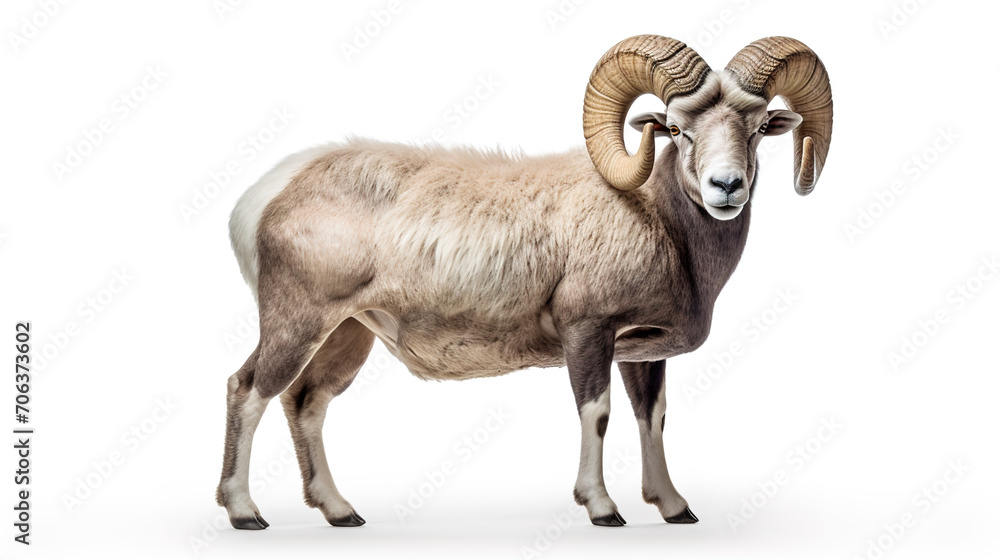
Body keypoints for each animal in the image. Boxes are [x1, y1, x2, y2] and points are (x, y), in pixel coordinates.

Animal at [216, 35, 833, 529]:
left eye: (759, 130)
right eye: (677, 129)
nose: (725, 187)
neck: (659, 221)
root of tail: (262, 198)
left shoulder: (642, 351)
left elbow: (651, 418)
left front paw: (675, 509)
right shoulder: (587, 333)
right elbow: (598, 413)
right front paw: (603, 510)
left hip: (346, 334)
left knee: (306, 403)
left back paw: (341, 513)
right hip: (299, 323)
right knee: (249, 390)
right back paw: (246, 514)